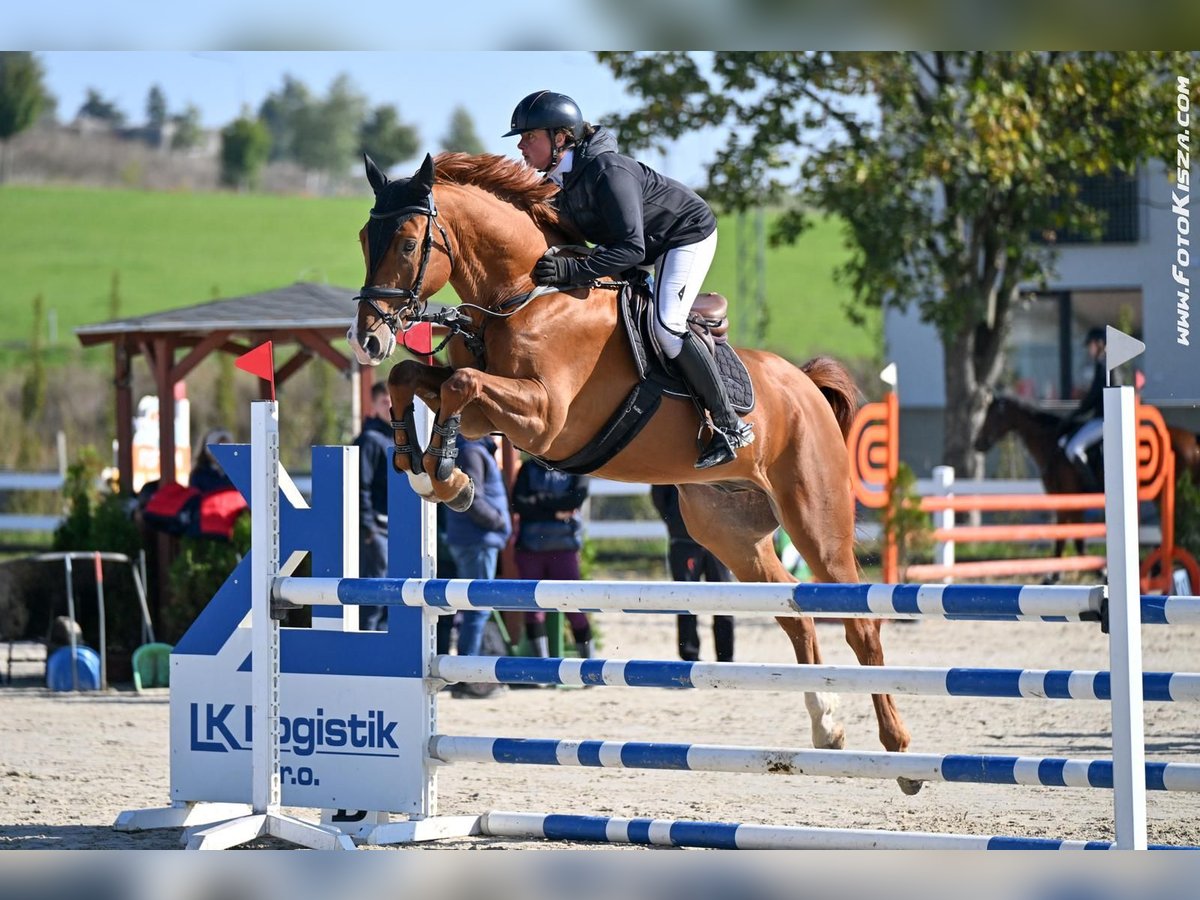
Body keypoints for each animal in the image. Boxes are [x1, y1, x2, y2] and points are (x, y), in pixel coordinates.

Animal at [346, 152, 916, 791]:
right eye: (366, 238)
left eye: (408, 242)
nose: (367, 339)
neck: (525, 296)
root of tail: (806, 387)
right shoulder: (484, 413)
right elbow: (416, 379)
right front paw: (421, 465)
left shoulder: (543, 418)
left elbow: (461, 384)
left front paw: (446, 474)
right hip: (729, 531)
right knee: (795, 614)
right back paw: (827, 727)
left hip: (816, 521)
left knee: (860, 624)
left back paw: (900, 754)